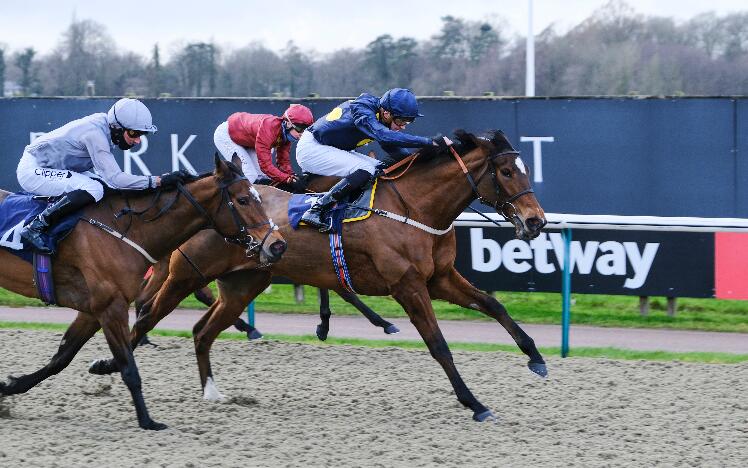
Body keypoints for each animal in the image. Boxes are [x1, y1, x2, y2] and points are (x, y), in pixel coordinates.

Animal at [0, 155, 286, 430]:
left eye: (260, 198)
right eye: (243, 200)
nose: (278, 245)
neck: (126, 229)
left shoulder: (93, 310)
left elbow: (61, 358)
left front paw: (10, 386)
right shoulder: (111, 308)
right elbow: (129, 368)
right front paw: (148, 421)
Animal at [96, 130, 548, 422]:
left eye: (526, 168)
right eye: (507, 172)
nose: (536, 221)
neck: (414, 206)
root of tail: (204, 202)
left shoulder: (440, 278)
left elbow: (493, 304)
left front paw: (536, 358)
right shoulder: (409, 286)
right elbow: (439, 345)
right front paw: (475, 403)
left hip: (244, 283)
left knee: (202, 331)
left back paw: (212, 391)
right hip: (187, 274)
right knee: (147, 316)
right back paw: (107, 366)